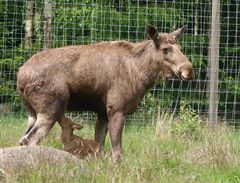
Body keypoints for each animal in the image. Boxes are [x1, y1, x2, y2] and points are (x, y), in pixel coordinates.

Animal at [17, 25, 195, 162]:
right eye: (166, 49)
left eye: (180, 48)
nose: (189, 70)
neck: (142, 76)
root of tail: (20, 78)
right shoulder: (117, 109)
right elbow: (117, 149)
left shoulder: (102, 112)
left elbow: (100, 145)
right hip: (50, 110)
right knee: (29, 140)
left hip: (32, 113)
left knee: (22, 139)